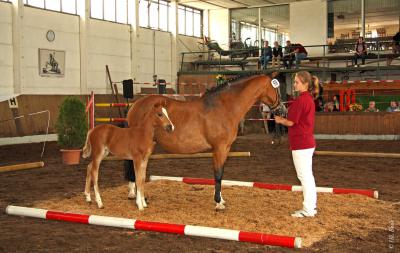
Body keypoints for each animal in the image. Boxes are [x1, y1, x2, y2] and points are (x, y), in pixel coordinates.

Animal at [125, 73, 284, 210]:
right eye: (276, 88)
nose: (281, 110)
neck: (224, 107)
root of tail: (136, 104)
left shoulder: (226, 148)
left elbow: (221, 174)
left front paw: (221, 199)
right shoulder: (219, 148)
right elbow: (218, 174)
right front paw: (218, 202)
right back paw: (136, 196)